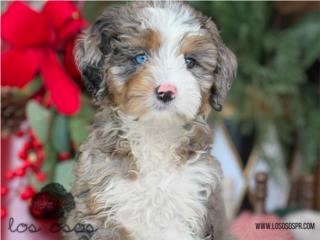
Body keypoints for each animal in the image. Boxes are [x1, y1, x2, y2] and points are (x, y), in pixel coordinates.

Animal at [65, 0, 236, 239]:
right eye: (141, 57)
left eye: (190, 62)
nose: (166, 92)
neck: (155, 133)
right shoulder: (103, 211)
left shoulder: (188, 212)